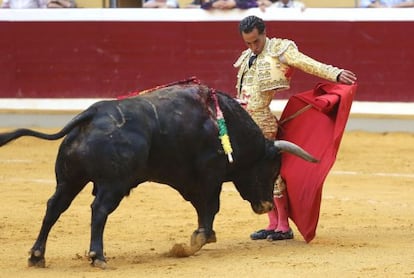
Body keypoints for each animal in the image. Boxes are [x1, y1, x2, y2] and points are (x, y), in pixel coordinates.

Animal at [0, 83, 316, 270]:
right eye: (272, 169)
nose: (265, 205)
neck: (224, 123)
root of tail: (92, 115)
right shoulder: (209, 177)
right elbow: (210, 208)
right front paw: (197, 241)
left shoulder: (191, 182)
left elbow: (202, 208)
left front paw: (202, 237)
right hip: (113, 185)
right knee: (99, 210)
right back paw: (97, 256)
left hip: (69, 179)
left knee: (54, 207)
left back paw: (37, 256)